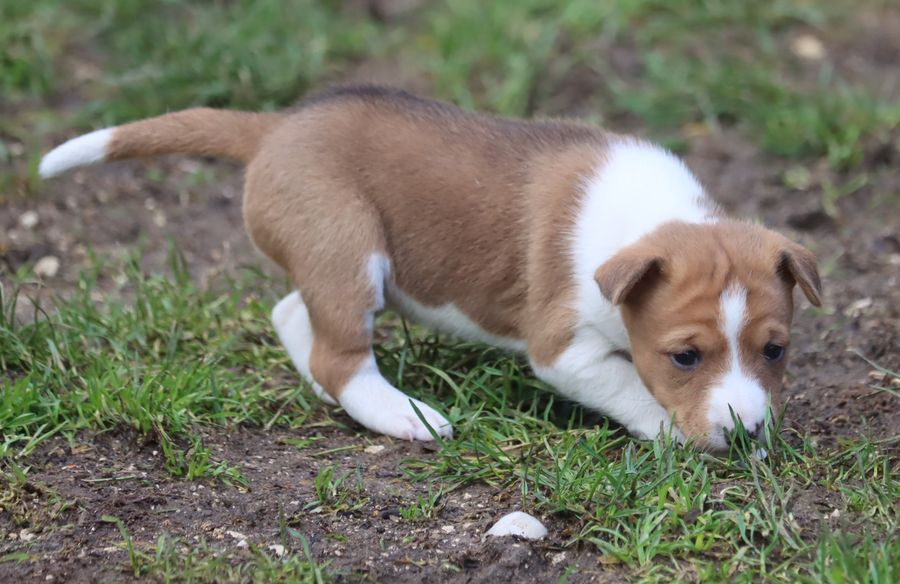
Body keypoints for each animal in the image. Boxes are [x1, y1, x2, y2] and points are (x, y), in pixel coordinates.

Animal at [42, 85, 824, 452]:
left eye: (775, 351)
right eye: (685, 357)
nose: (748, 436)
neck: (656, 219)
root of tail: (278, 128)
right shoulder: (562, 350)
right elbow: (632, 387)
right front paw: (671, 431)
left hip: (332, 261)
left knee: (295, 318)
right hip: (346, 246)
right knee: (336, 354)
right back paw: (404, 415)